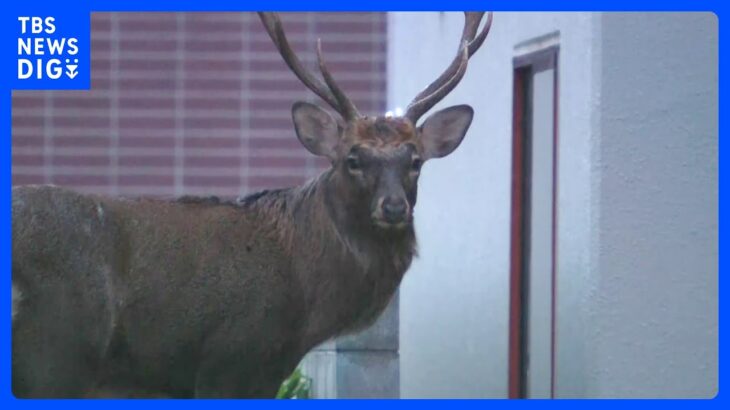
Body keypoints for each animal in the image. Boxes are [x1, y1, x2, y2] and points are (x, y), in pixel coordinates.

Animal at [11, 12, 492, 398]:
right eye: (353, 159)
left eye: (415, 161)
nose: (393, 208)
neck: (306, 303)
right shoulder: (231, 358)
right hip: (58, 348)